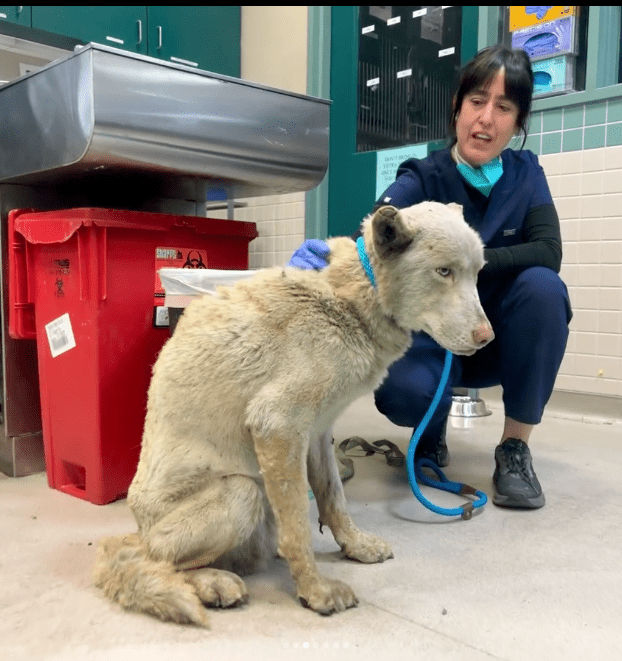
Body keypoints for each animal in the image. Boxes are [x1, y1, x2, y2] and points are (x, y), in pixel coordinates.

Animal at [92, 204, 494, 628]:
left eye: (477, 273)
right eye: (444, 271)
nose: (488, 338)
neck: (353, 296)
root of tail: (139, 527)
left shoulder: (317, 433)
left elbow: (334, 500)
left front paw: (355, 546)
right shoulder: (278, 426)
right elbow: (299, 525)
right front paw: (314, 591)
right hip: (243, 494)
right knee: (148, 558)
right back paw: (212, 583)